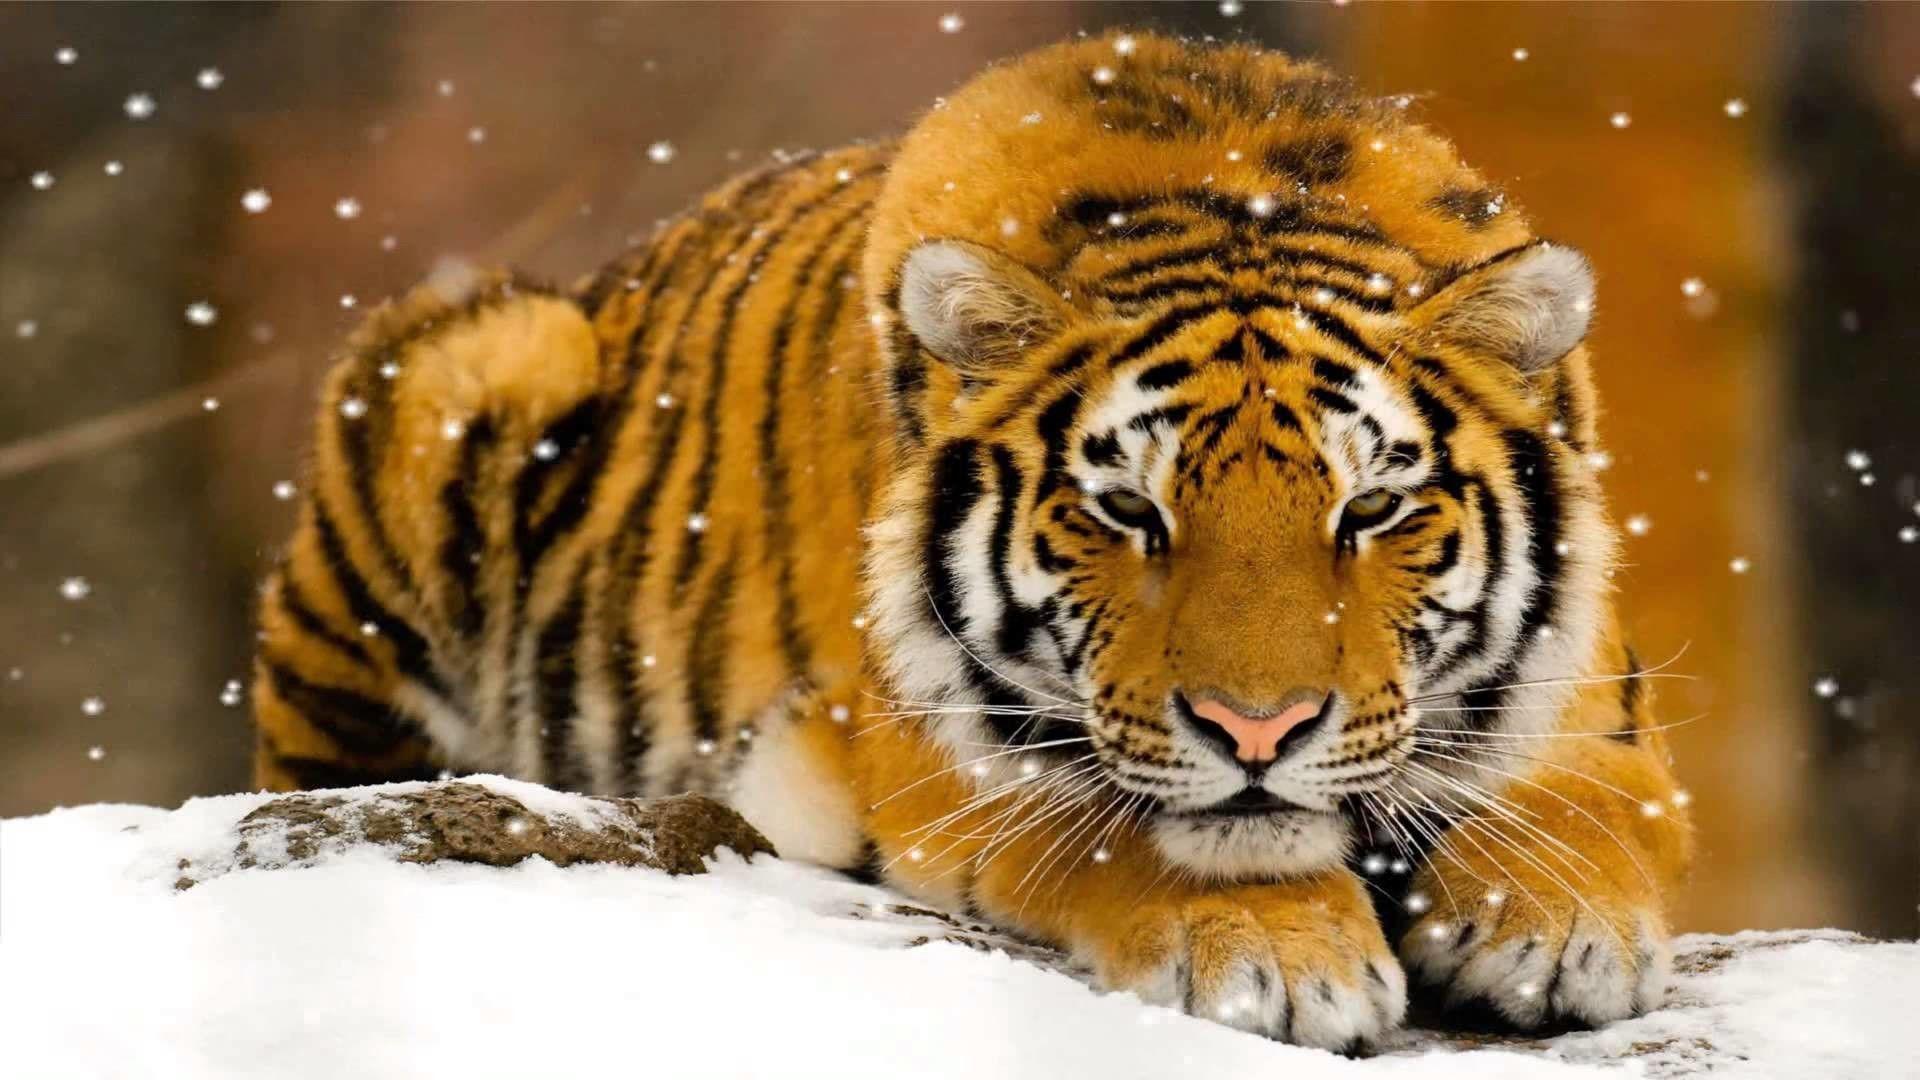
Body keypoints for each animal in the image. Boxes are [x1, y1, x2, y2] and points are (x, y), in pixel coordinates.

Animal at [251, 32, 1694, 1049]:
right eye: (1129, 511)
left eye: (1371, 509)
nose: (1260, 731)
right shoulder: (944, 752)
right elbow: (1122, 825)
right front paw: (1278, 955)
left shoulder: (1600, 708)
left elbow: (1584, 806)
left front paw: (1555, 928)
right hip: (473, 360)